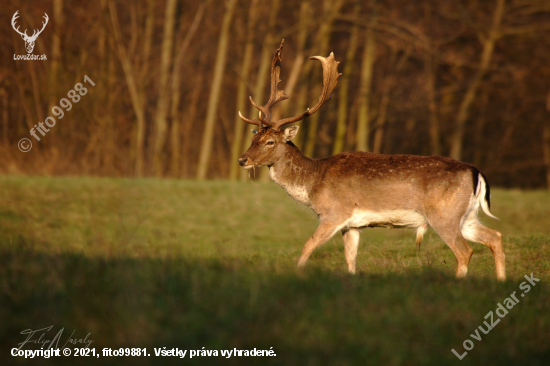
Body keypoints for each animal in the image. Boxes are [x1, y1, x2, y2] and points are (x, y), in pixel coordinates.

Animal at [239, 39, 506, 280]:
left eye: (270, 142)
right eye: (254, 137)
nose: (242, 160)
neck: (313, 182)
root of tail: (475, 173)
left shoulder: (334, 213)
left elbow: (307, 246)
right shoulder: (352, 225)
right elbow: (350, 259)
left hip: (444, 214)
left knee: (465, 251)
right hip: (466, 215)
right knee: (495, 237)